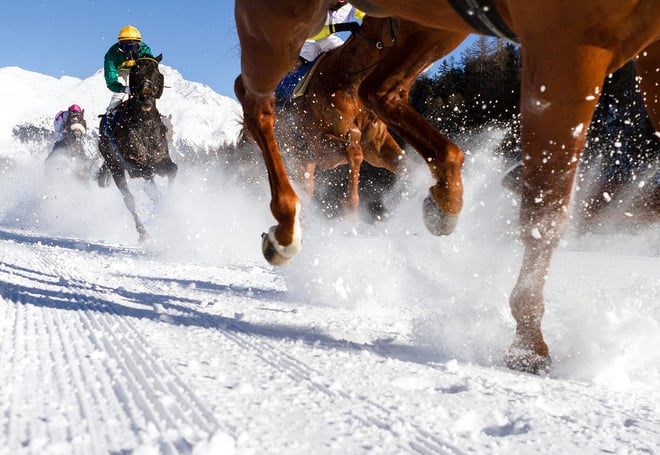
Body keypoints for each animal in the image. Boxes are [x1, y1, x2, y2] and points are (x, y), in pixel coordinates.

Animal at [96, 55, 177, 242]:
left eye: (155, 72)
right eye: (135, 72)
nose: (146, 96)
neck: (144, 124)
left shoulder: (161, 158)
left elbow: (173, 170)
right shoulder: (134, 166)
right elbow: (149, 180)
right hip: (115, 166)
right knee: (129, 200)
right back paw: (143, 233)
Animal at [278, 16, 412, 219]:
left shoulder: (376, 143)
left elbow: (406, 165)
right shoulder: (320, 146)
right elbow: (354, 152)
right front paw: (350, 211)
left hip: (303, 161)